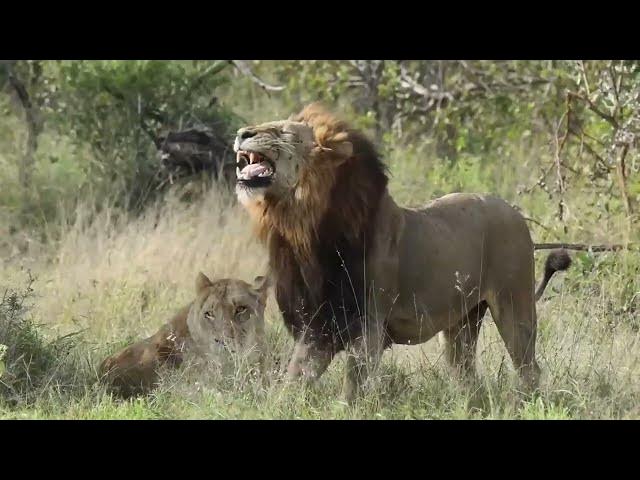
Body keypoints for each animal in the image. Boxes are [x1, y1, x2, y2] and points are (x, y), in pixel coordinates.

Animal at [233, 102, 572, 403]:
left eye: (283, 131)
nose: (241, 133)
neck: (301, 227)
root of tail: (515, 213)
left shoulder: (367, 325)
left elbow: (352, 388)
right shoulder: (320, 324)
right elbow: (291, 382)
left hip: (514, 305)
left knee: (529, 369)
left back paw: (523, 404)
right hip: (462, 322)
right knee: (465, 374)